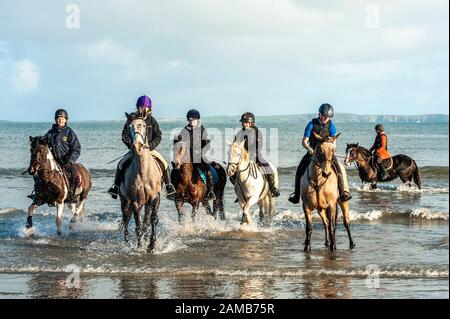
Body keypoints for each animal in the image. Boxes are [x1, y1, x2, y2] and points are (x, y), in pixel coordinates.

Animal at [118, 114, 163, 254]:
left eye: (144, 125)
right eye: (129, 126)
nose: (137, 145)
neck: (144, 172)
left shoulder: (154, 198)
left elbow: (152, 220)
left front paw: (152, 246)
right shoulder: (135, 201)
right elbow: (137, 224)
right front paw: (139, 246)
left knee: (146, 220)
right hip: (125, 200)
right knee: (126, 218)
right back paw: (127, 242)